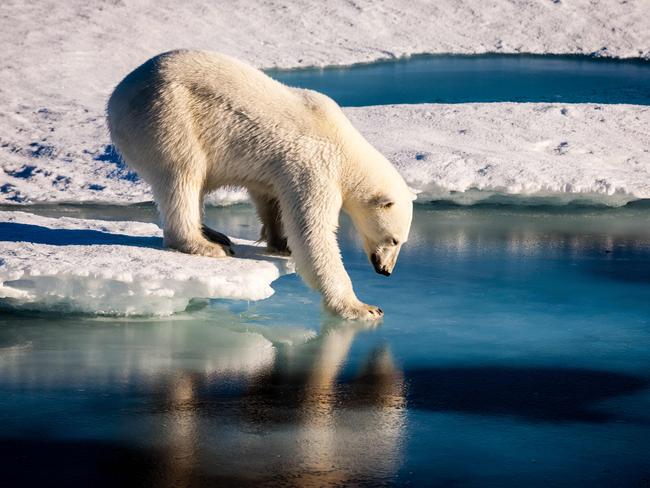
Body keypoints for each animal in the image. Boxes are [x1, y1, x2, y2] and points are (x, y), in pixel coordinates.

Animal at [104, 50, 412, 320]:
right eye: (393, 240)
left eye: (401, 241)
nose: (386, 270)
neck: (344, 147)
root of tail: (116, 97)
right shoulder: (315, 167)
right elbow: (313, 233)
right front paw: (363, 307)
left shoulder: (278, 169)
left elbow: (270, 198)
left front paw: (280, 243)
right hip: (167, 117)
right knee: (182, 175)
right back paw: (205, 245)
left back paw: (215, 234)